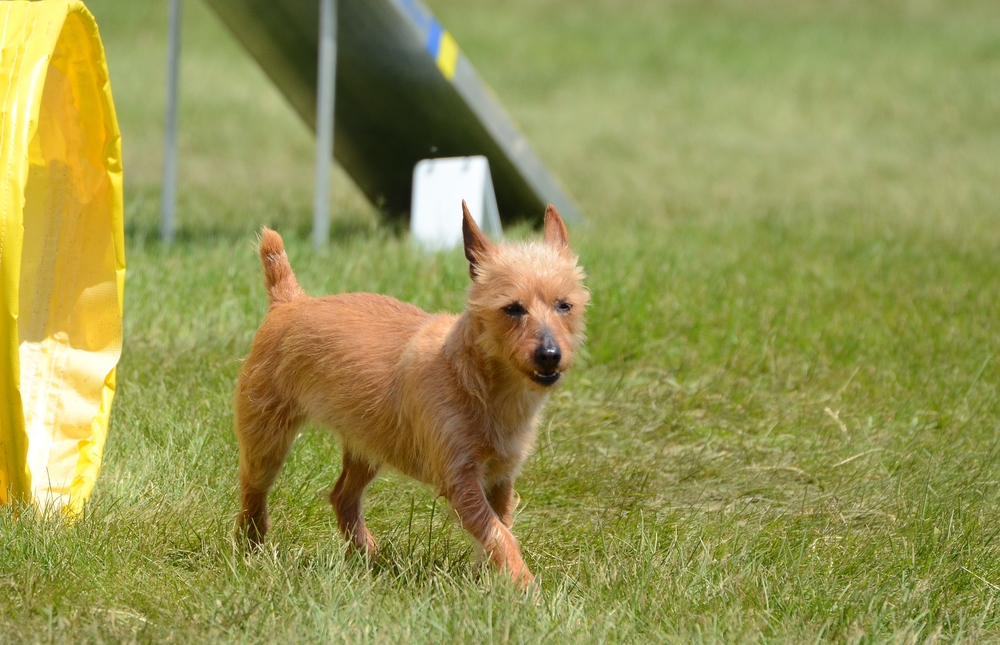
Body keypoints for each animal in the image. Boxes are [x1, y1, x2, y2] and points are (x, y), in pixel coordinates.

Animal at [233, 201, 584, 584]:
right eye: (513, 309)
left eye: (565, 306)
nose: (550, 354)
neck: (480, 382)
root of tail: (290, 301)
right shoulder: (462, 480)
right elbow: (498, 533)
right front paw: (524, 584)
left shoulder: (501, 478)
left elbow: (500, 527)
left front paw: (491, 578)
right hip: (268, 438)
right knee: (254, 489)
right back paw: (250, 545)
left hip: (368, 444)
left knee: (343, 496)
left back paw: (370, 556)